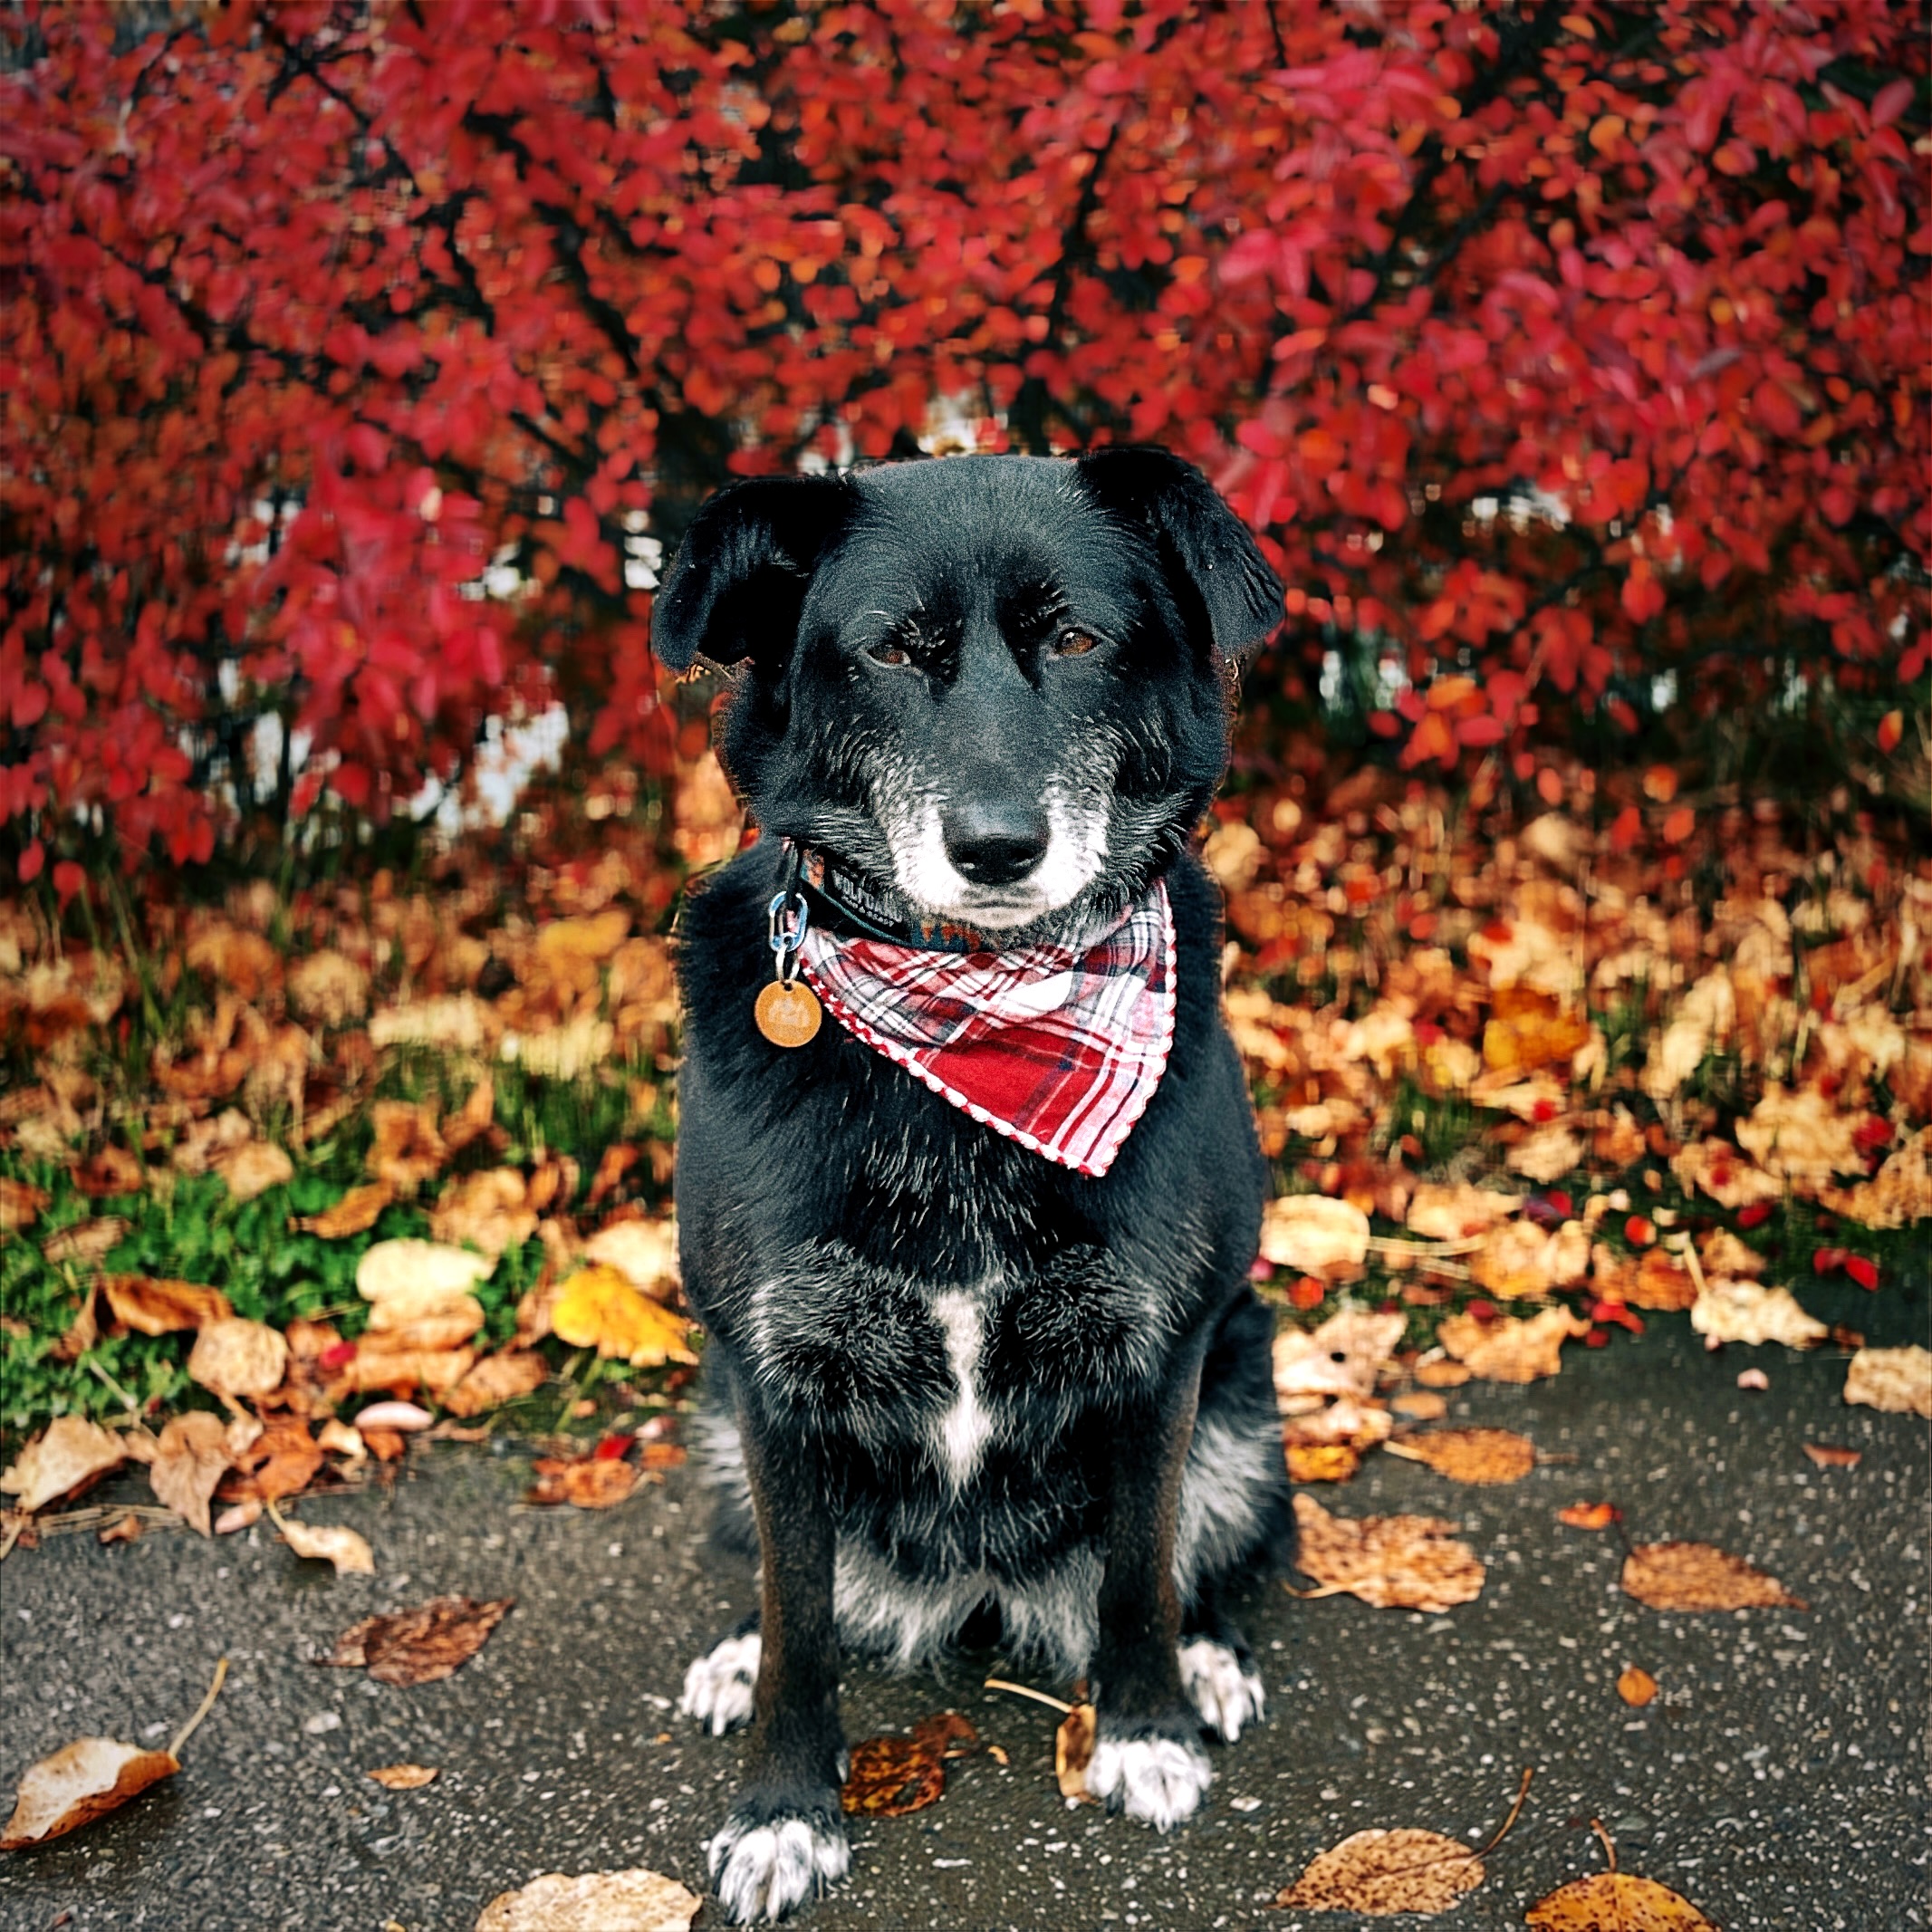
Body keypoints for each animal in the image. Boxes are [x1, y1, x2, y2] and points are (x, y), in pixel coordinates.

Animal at [652, 447, 1298, 1916]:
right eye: (894, 649)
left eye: (1078, 640)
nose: (997, 847)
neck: (975, 1024)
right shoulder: (771, 1372)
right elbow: (798, 1617)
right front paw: (784, 1811)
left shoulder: (1161, 1349)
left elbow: (1138, 1571)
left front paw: (1144, 1728)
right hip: (714, 1417)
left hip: (1244, 1389)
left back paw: (1209, 1658)